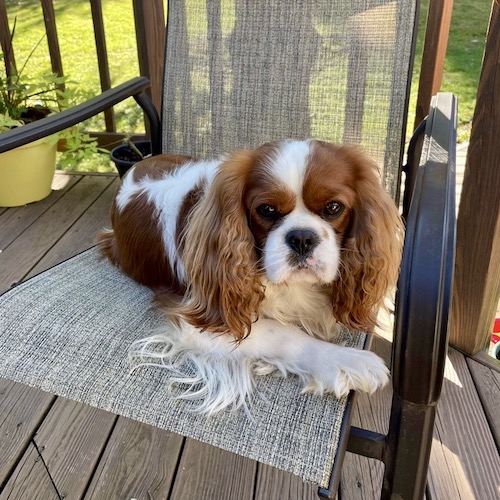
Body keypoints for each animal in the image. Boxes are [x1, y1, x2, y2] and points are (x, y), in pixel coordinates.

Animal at [97, 139, 402, 412]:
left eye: (334, 208)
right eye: (266, 210)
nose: (302, 238)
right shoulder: (197, 320)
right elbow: (282, 333)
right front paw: (346, 359)